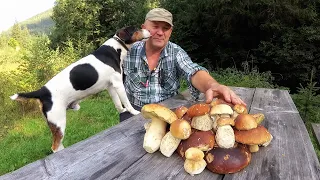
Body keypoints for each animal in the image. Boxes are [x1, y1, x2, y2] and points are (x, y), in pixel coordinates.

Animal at [10, 26, 150, 153]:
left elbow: (118, 103)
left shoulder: (110, 86)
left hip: (55, 125)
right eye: (136, 29)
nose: (148, 29)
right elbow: (126, 102)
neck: (116, 47)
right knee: (55, 147)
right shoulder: (118, 84)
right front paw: (134, 112)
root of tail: (42, 91)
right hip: (59, 122)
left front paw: (122, 110)